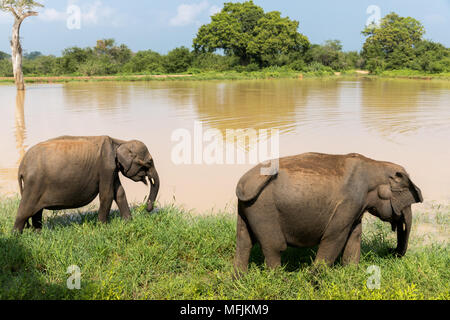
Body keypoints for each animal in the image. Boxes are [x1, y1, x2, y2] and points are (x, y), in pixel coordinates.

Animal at [13, 136, 160, 232]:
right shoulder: (106, 166)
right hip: (34, 184)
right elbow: (107, 195)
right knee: (24, 212)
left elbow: (119, 193)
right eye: (148, 163)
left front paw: (128, 222)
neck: (120, 142)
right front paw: (102, 228)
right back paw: (16, 236)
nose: (148, 209)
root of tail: (21, 167)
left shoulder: (112, 169)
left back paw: (38, 234)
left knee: (36, 212)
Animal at [234, 152, 424, 272]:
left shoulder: (356, 207)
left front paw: (350, 274)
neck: (375, 165)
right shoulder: (349, 202)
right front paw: (314, 279)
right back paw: (280, 280)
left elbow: (354, 237)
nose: (390, 251)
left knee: (244, 241)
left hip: (247, 208)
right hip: (264, 209)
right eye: (406, 201)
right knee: (275, 246)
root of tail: (243, 183)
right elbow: (335, 237)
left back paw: (238, 281)